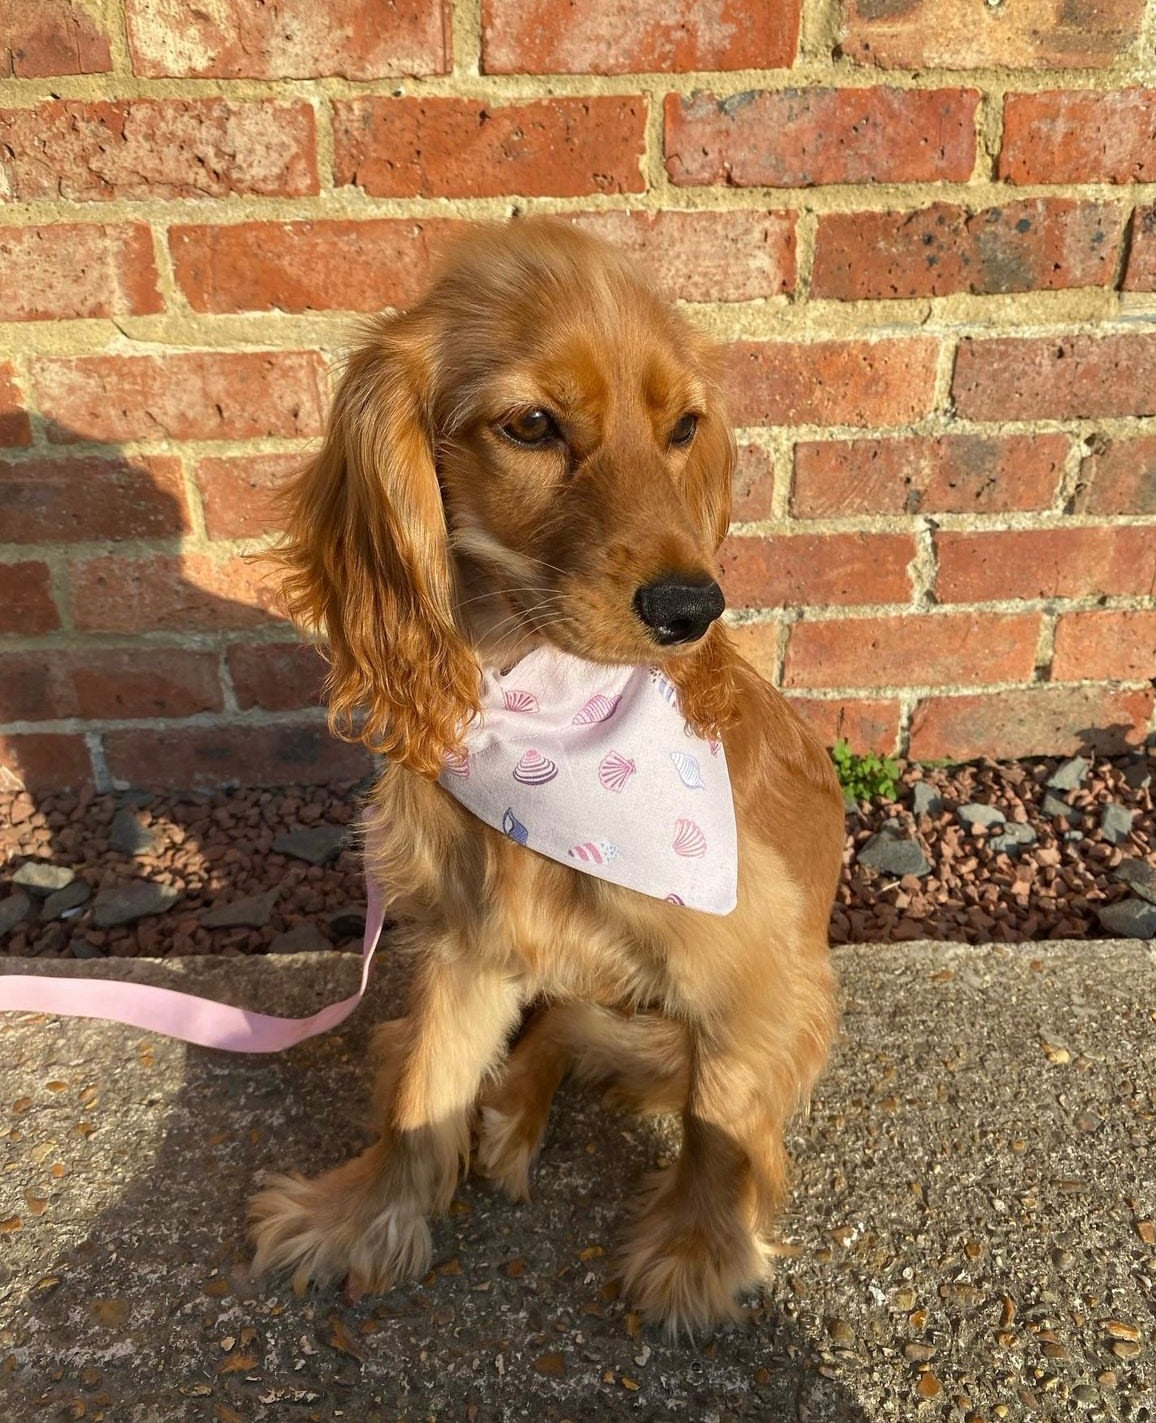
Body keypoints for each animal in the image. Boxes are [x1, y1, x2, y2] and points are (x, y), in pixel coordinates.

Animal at [250, 216, 837, 1326]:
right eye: (530, 425)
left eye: (683, 427)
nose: (693, 607)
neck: (551, 723)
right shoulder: (470, 938)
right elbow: (423, 1087)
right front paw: (366, 1213)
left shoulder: (755, 968)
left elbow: (724, 1117)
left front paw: (696, 1250)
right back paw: (505, 1109)